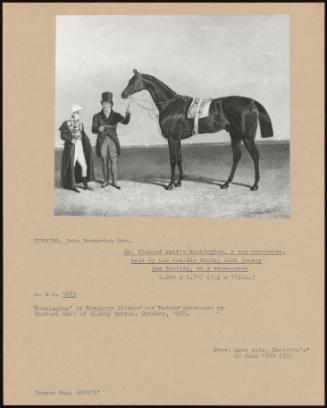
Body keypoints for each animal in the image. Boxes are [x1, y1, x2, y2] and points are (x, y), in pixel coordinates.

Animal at [121, 68, 274, 191]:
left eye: (133, 81)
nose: (123, 94)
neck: (170, 104)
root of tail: (251, 102)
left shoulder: (171, 138)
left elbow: (172, 160)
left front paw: (170, 184)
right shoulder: (178, 139)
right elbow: (179, 159)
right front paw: (179, 181)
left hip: (247, 137)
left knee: (255, 155)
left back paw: (254, 185)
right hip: (235, 135)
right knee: (237, 156)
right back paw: (226, 183)